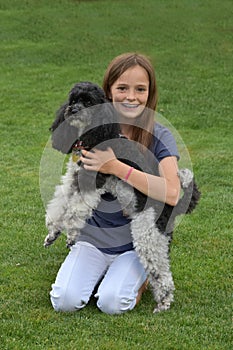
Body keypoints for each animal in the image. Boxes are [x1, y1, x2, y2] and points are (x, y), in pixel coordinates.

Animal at [43, 82, 200, 314]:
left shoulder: (93, 180)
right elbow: (60, 203)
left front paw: (71, 234)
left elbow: (75, 211)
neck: (95, 135)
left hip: (148, 236)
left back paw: (163, 303)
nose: (73, 110)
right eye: (73, 100)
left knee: (163, 275)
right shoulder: (73, 178)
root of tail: (173, 208)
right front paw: (53, 233)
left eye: (89, 101)